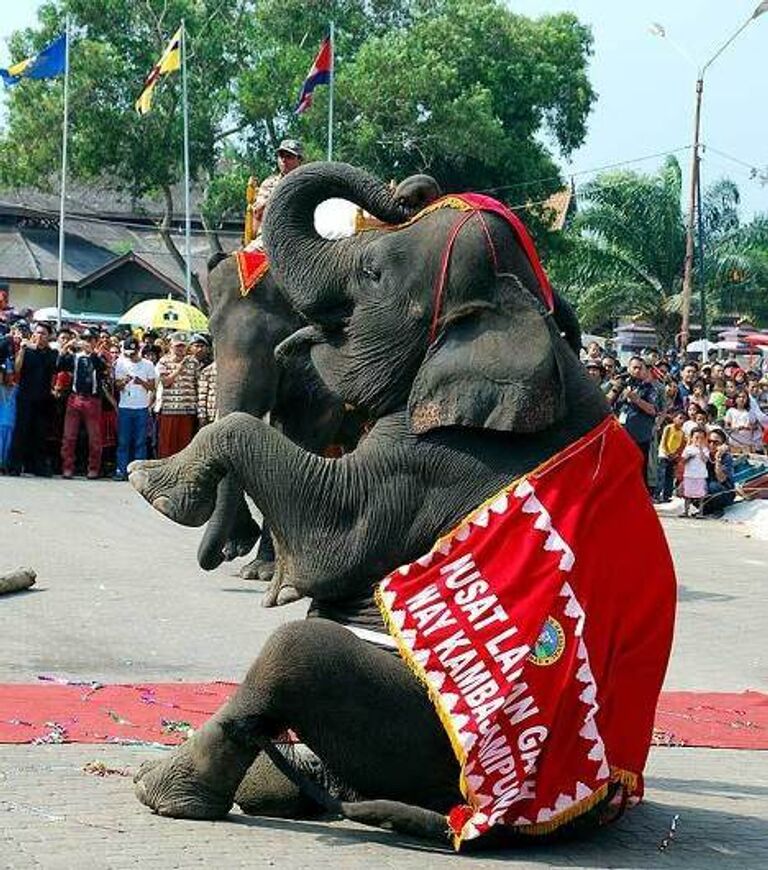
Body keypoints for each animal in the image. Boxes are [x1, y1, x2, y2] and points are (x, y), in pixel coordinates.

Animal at [127, 162, 672, 844]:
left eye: (372, 274)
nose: (413, 189)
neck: (517, 310)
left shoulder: (440, 458)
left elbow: (332, 534)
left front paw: (150, 485)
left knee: (295, 652)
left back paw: (165, 791)